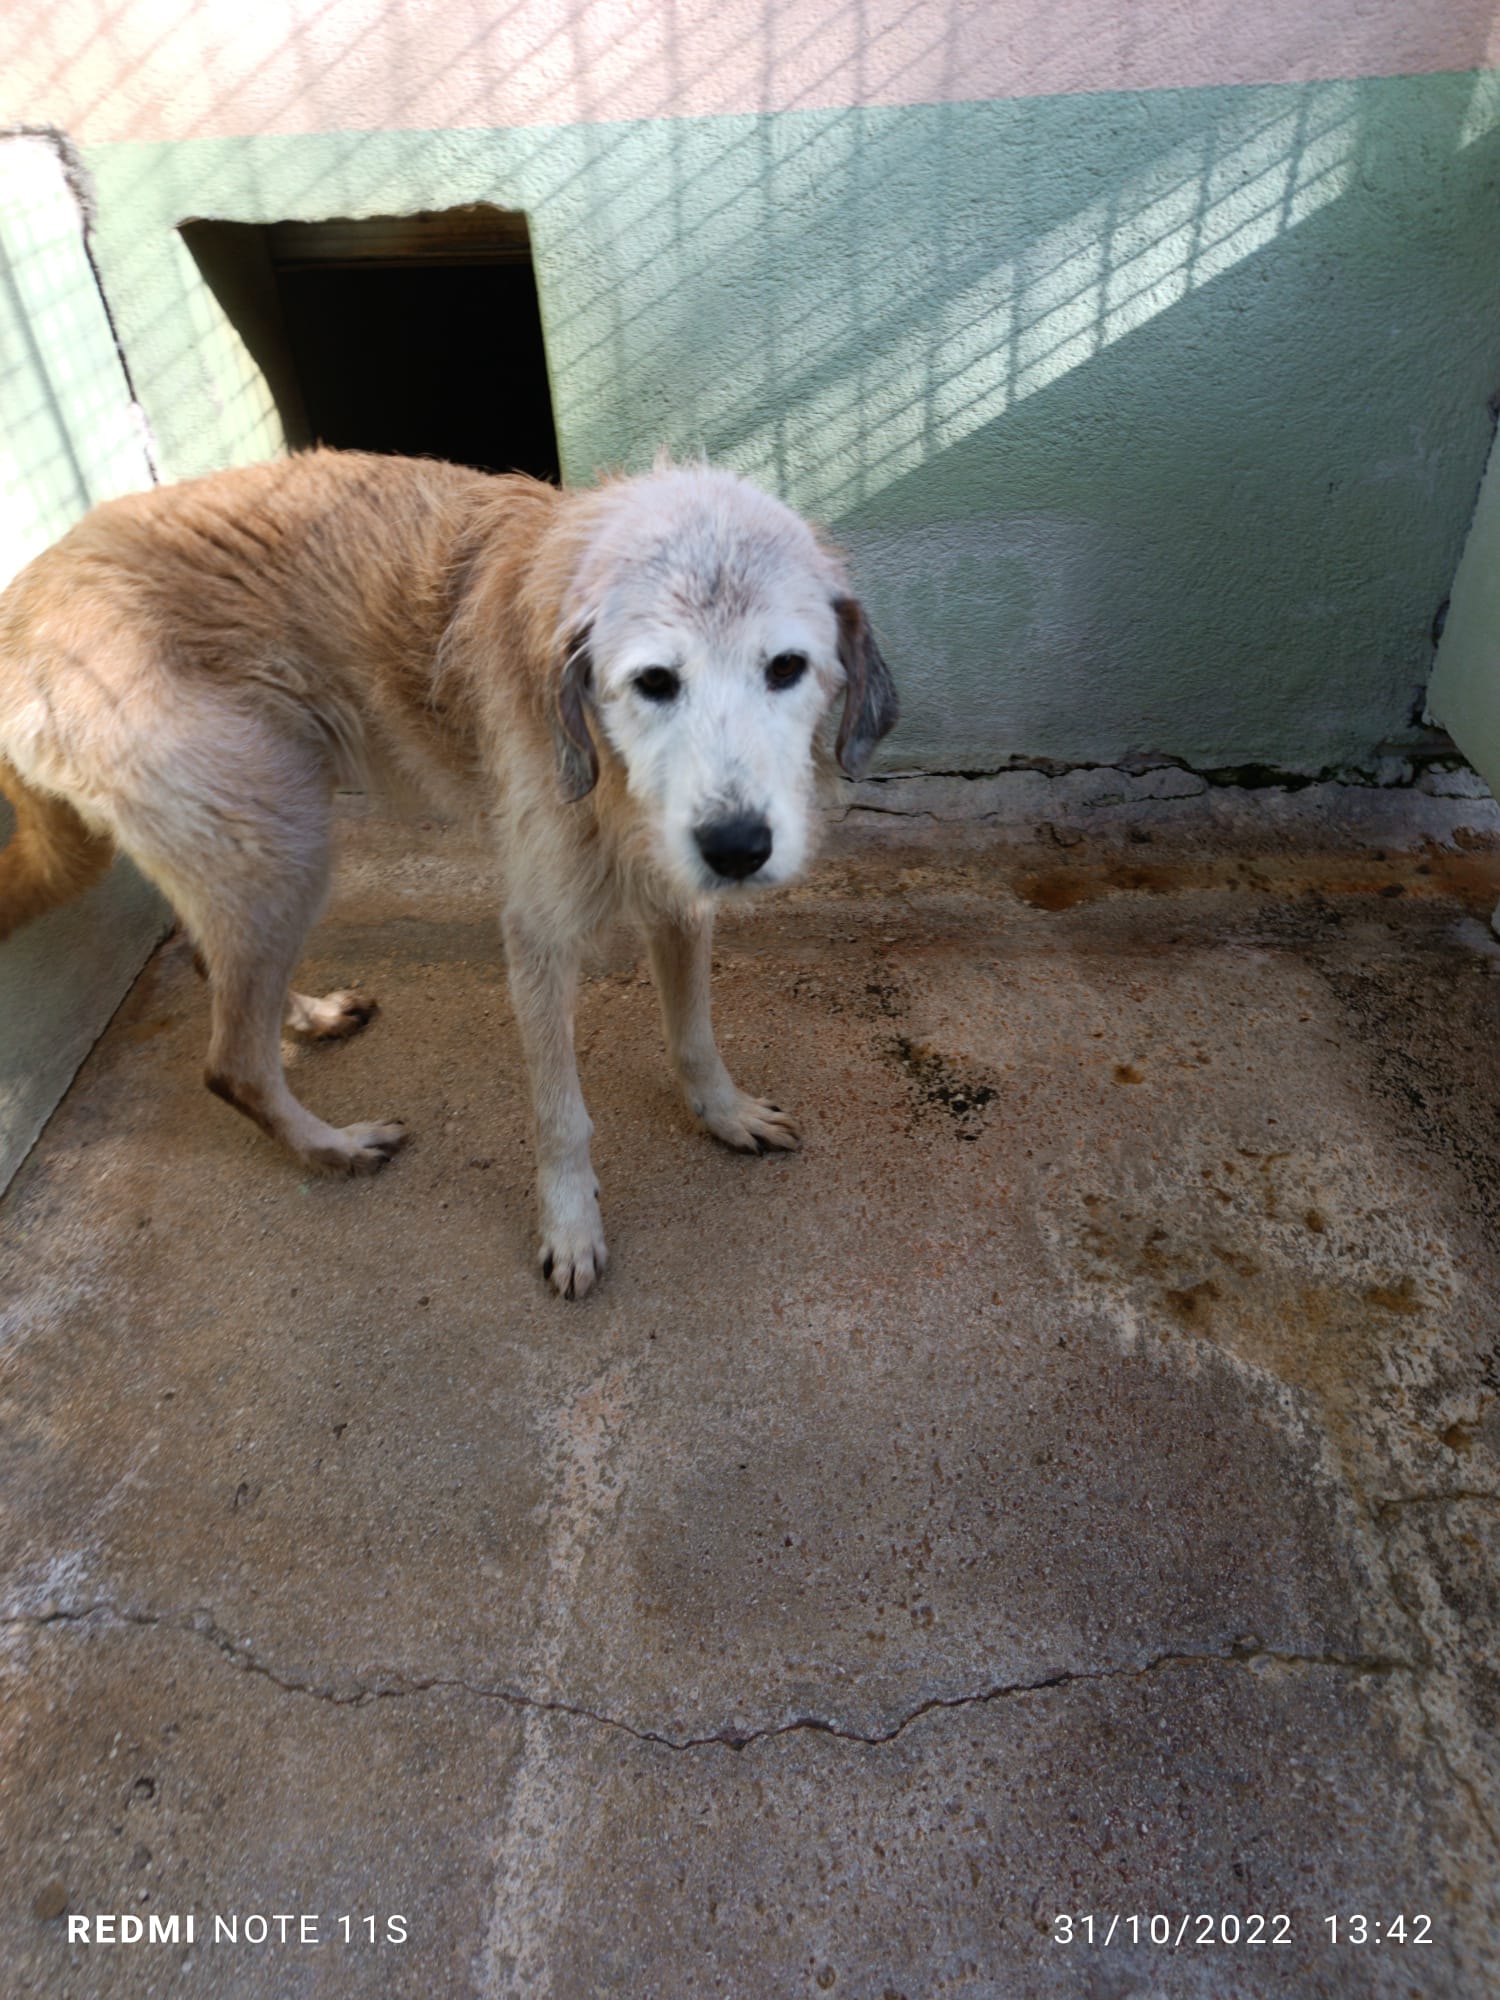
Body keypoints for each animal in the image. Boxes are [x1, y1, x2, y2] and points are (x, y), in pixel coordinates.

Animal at [0, 450, 897, 1295]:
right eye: (653, 681)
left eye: (786, 668)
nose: (737, 847)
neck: (607, 768)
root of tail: (22, 606)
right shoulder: (537, 938)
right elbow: (561, 1117)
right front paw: (570, 1227)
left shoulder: (678, 902)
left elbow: (695, 1039)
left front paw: (724, 1113)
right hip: (285, 843)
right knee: (232, 1064)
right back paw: (335, 1146)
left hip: (254, 849)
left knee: (208, 965)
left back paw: (310, 1018)